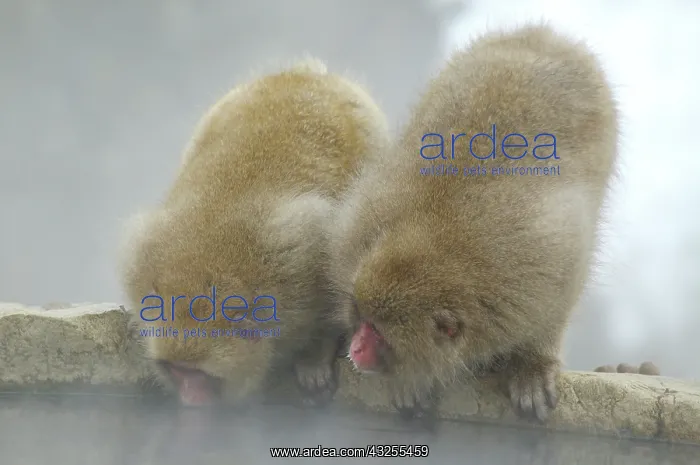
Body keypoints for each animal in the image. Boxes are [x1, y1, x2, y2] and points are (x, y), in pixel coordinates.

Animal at [118, 57, 390, 408]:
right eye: (178, 372)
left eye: (199, 376)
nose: (190, 400)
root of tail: (303, 73)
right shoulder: (142, 258)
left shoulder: (303, 255)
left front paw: (313, 357)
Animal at [327, 23, 619, 424]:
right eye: (361, 317)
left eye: (378, 333)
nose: (356, 349)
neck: (442, 246)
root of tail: (541, 34)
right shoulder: (356, 230)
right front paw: (409, 382)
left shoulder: (542, 268)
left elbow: (556, 303)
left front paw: (532, 366)